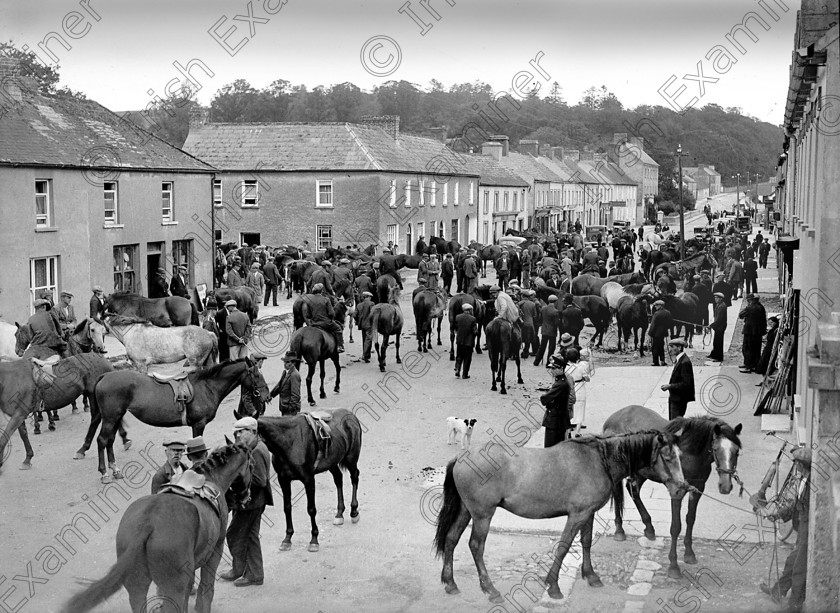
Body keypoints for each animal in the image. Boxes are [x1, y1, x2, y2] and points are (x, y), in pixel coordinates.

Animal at [62, 438, 254, 612]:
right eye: (251, 465)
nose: (246, 496)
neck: (209, 478)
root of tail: (147, 524)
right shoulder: (215, 550)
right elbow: (206, 588)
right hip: (173, 585)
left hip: (137, 583)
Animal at [86, 356, 270, 480]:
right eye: (257, 375)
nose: (267, 396)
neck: (206, 386)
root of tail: (104, 376)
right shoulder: (198, 424)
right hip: (110, 418)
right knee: (102, 440)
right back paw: (104, 472)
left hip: (115, 417)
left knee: (109, 441)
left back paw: (115, 469)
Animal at [256, 408, 360, 552]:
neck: (288, 441)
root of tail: (351, 416)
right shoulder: (283, 479)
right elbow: (287, 507)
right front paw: (287, 539)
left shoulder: (308, 479)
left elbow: (311, 509)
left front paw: (314, 540)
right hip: (331, 462)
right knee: (338, 479)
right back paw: (339, 513)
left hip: (351, 458)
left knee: (354, 476)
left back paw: (354, 511)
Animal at [434, 430, 688, 604]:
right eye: (667, 458)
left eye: (680, 456)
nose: (681, 489)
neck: (599, 461)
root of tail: (462, 457)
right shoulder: (576, 515)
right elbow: (564, 546)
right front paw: (553, 585)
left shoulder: (588, 514)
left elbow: (585, 542)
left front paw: (590, 575)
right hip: (482, 514)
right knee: (476, 546)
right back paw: (490, 589)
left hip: (466, 511)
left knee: (451, 539)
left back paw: (450, 582)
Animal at [604, 406, 740, 580]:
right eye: (716, 449)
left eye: (736, 452)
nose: (726, 486)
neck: (689, 453)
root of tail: (612, 419)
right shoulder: (677, 491)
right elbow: (676, 526)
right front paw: (674, 566)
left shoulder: (698, 488)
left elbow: (690, 519)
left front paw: (689, 554)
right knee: (618, 492)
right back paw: (619, 530)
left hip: (642, 472)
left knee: (632, 489)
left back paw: (649, 527)